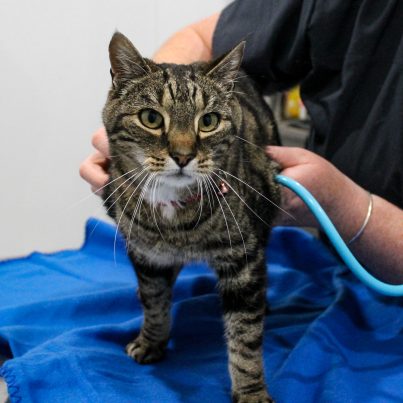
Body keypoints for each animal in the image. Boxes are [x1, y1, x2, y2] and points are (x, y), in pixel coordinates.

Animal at [102, 32, 280, 403]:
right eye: (151, 118)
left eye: (208, 121)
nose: (183, 156)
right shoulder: (148, 256)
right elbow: (155, 303)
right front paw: (151, 341)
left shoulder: (244, 262)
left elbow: (245, 336)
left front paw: (251, 391)